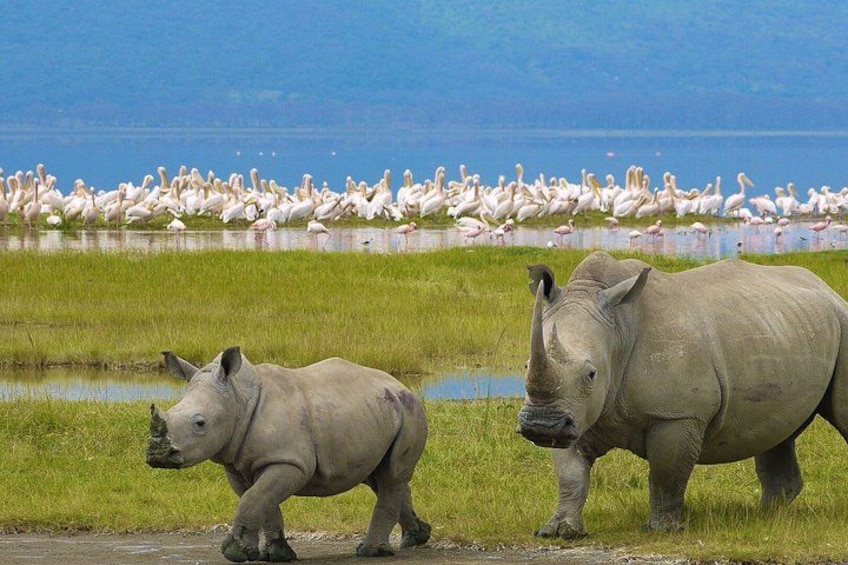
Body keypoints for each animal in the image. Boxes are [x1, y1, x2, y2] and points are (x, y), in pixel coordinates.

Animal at [146, 346, 431, 562]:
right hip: (378, 412)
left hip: (409, 412)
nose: (157, 455)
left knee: (391, 476)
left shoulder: (289, 461)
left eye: (200, 423)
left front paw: (234, 553)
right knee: (380, 477)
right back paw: (416, 537)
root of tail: (399, 384)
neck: (237, 399)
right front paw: (274, 555)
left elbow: (253, 499)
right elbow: (261, 501)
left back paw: (371, 551)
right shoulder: (239, 465)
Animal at [516, 251, 848, 537]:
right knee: (777, 431)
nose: (541, 425)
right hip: (782, 330)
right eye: (526, 365)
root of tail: (826, 288)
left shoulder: (676, 415)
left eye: (591, 374)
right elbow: (570, 474)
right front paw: (559, 531)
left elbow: (666, 474)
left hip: (842, 321)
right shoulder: (575, 413)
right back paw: (763, 516)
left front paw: (661, 530)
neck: (618, 330)